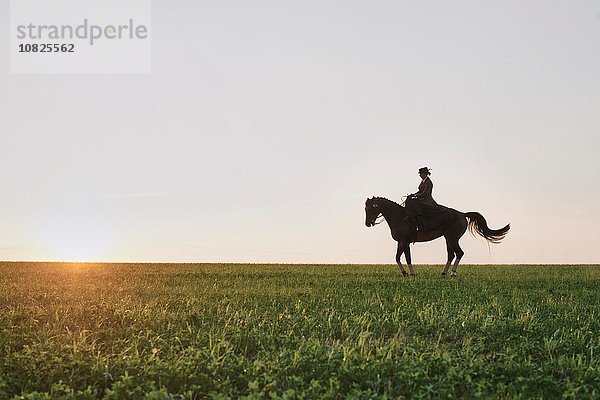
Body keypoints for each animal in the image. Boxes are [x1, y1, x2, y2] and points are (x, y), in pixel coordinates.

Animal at [364, 196, 508, 276]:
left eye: (369, 208)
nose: (367, 224)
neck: (399, 216)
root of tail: (462, 214)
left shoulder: (405, 241)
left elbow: (408, 257)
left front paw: (412, 273)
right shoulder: (400, 242)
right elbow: (397, 257)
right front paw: (404, 273)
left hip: (452, 239)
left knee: (459, 253)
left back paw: (453, 273)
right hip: (448, 239)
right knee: (451, 255)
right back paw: (444, 273)